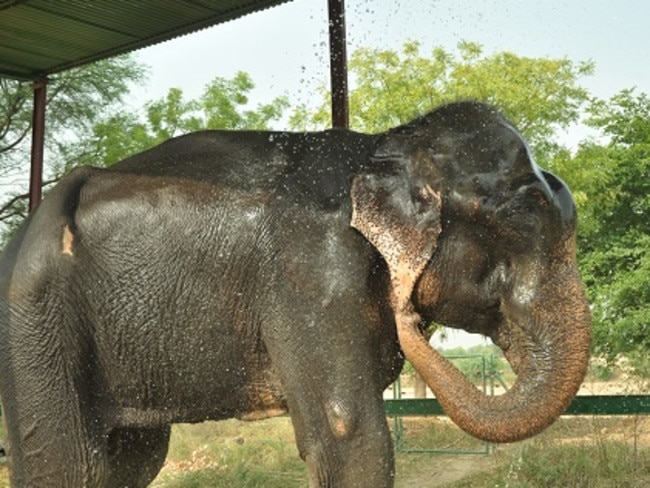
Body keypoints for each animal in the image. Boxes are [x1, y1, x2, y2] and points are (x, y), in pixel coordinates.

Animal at [0, 101, 588, 486]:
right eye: (525, 217)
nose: (411, 316)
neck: (383, 147)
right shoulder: (312, 272)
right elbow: (348, 434)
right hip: (34, 324)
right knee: (72, 465)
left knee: (133, 460)